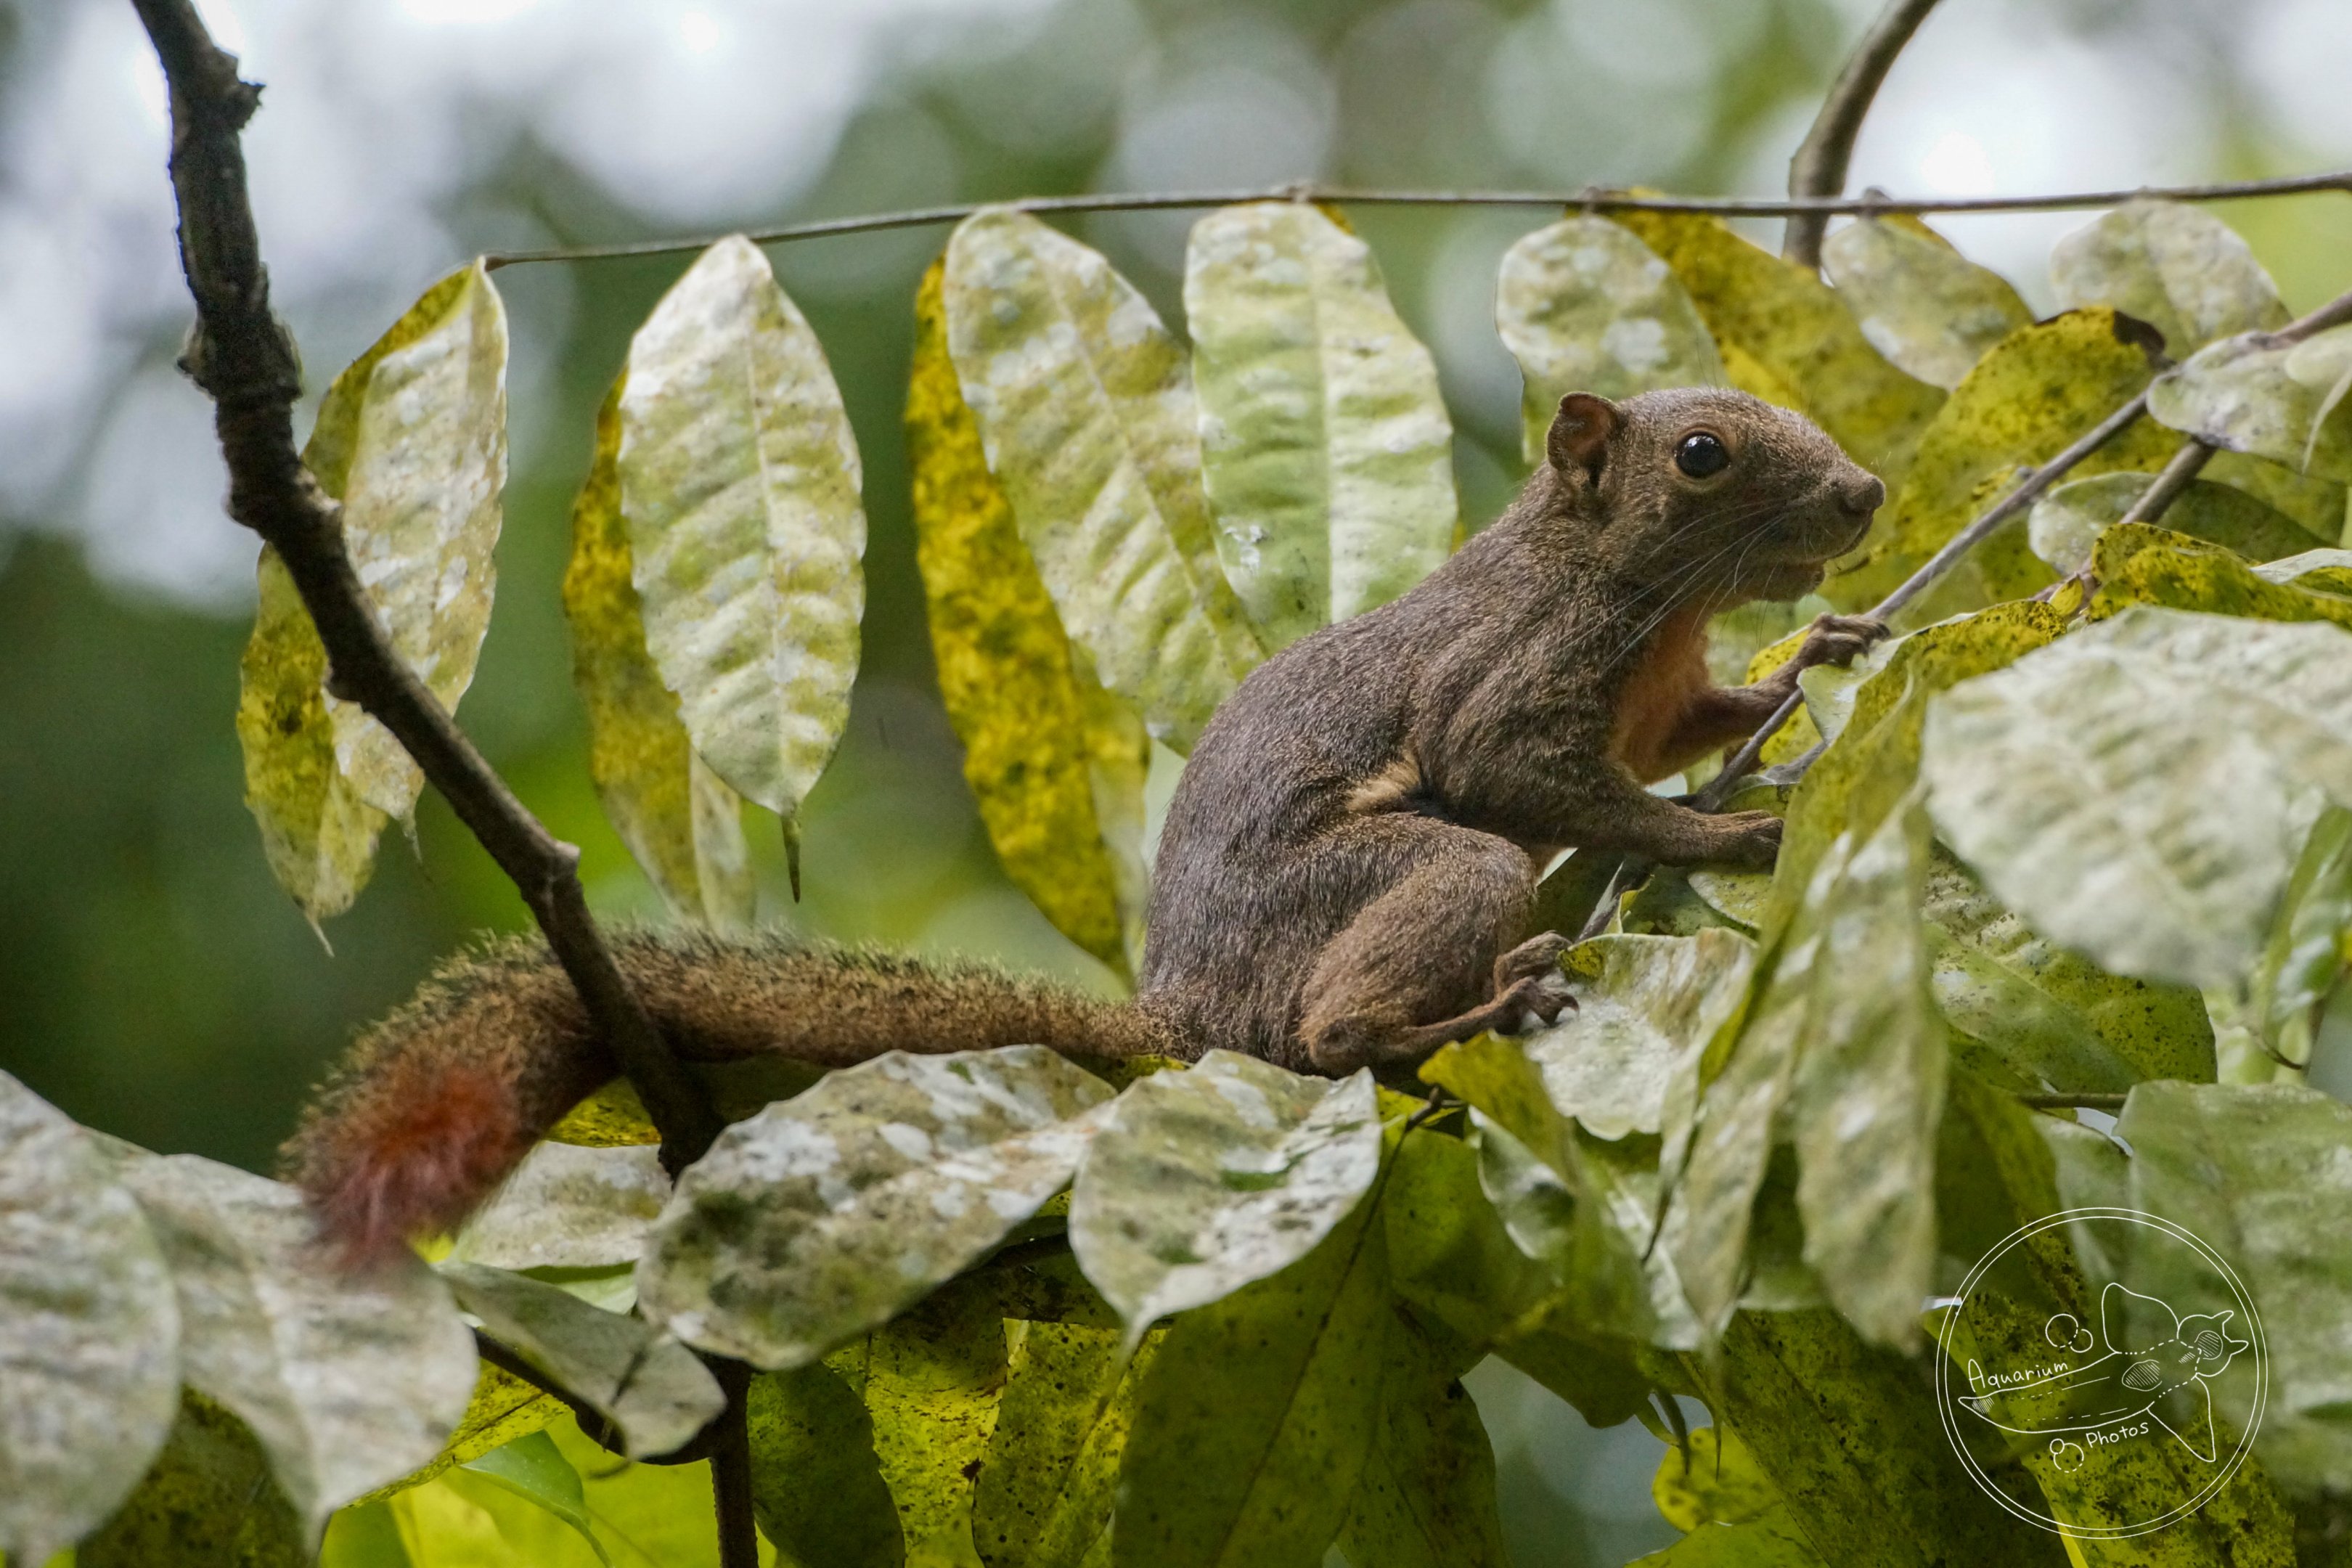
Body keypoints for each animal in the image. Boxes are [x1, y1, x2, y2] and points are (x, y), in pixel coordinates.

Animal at [286, 388, 1887, 1260]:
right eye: (1701, 454)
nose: (1867, 491)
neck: (1636, 591)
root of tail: (1189, 1009)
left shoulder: (1656, 694)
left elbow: (1694, 729)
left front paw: (1811, 660)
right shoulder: (1509, 687)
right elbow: (1520, 774)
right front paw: (1717, 840)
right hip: (1383, 893)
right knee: (1340, 1023)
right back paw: (1469, 1010)